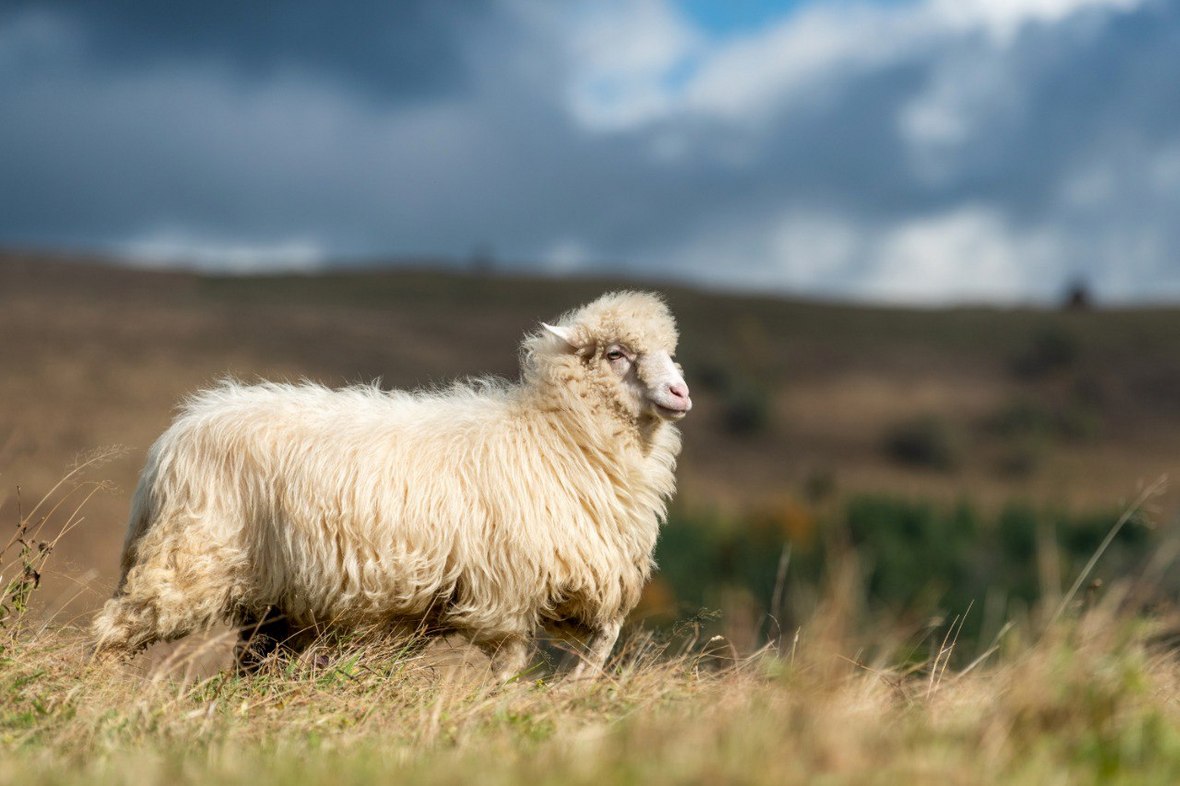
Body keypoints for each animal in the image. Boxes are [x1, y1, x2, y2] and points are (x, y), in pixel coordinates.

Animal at [96, 290, 693, 675]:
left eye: (671, 353)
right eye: (616, 354)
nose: (680, 393)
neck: (554, 435)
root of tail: (177, 432)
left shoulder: (584, 585)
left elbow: (602, 645)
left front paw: (574, 696)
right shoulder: (511, 591)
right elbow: (511, 665)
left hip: (274, 603)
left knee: (250, 664)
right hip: (189, 560)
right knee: (115, 631)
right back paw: (105, 693)